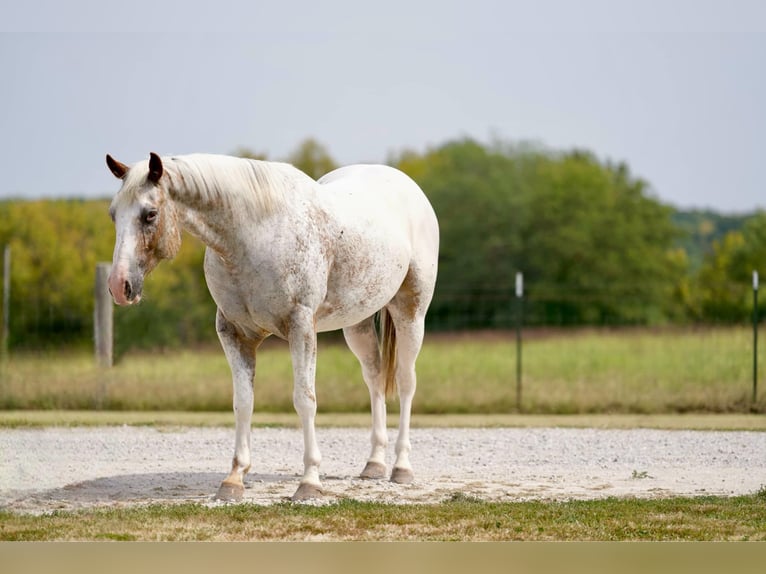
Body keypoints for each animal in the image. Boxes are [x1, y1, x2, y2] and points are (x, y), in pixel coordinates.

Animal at [105, 152, 439, 501]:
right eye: (114, 214)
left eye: (150, 214)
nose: (119, 285)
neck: (253, 236)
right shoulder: (234, 334)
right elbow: (243, 403)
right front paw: (234, 479)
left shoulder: (301, 327)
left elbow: (305, 400)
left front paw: (309, 482)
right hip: (357, 324)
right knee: (374, 380)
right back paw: (374, 464)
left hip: (410, 313)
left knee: (405, 382)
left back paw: (401, 467)